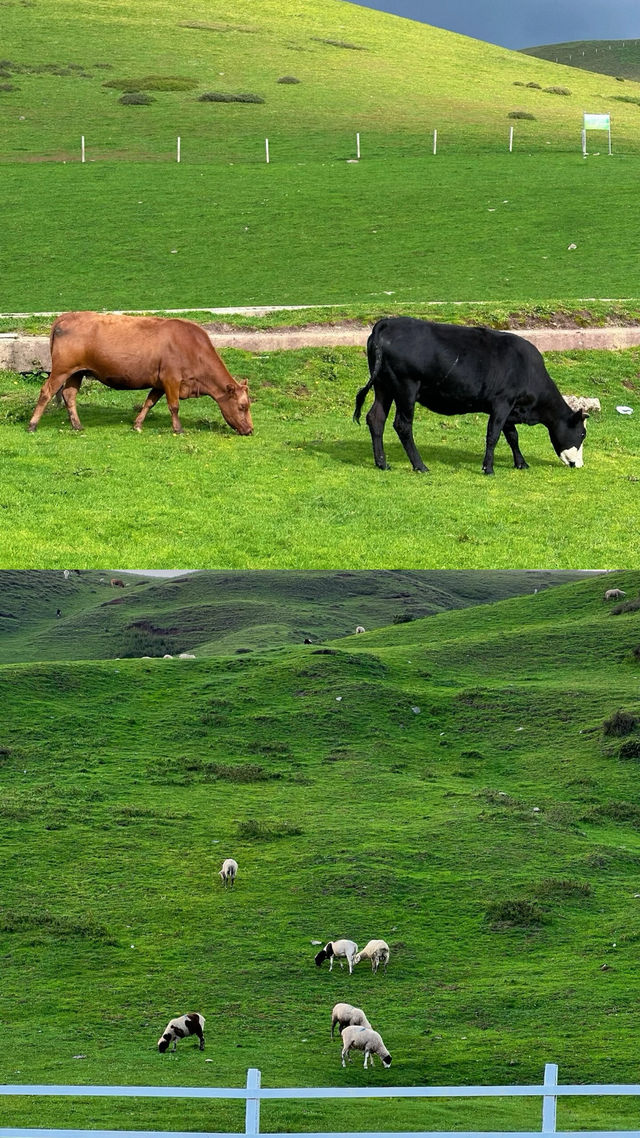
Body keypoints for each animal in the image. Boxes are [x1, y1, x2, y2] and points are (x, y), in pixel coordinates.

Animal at [26, 311, 251, 434]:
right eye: (242, 406)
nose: (250, 430)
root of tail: (68, 316)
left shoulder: (160, 383)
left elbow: (149, 403)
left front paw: (137, 425)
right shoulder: (171, 379)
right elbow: (174, 406)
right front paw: (178, 429)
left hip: (77, 372)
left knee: (69, 394)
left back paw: (77, 425)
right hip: (61, 369)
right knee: (46, 392)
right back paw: (32, 425)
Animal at [350, 320, 587, 475]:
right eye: (583, 434)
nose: (579, 464)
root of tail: (387, 323)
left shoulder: (509, 408)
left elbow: (512, 436)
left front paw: (521, 463)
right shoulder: (502, 402)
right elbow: (493, 435)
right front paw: (488, 468)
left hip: (383, 386)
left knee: (376, 418)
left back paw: (382, 463)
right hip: (405, 388)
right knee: (402, 425)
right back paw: (420, 465)